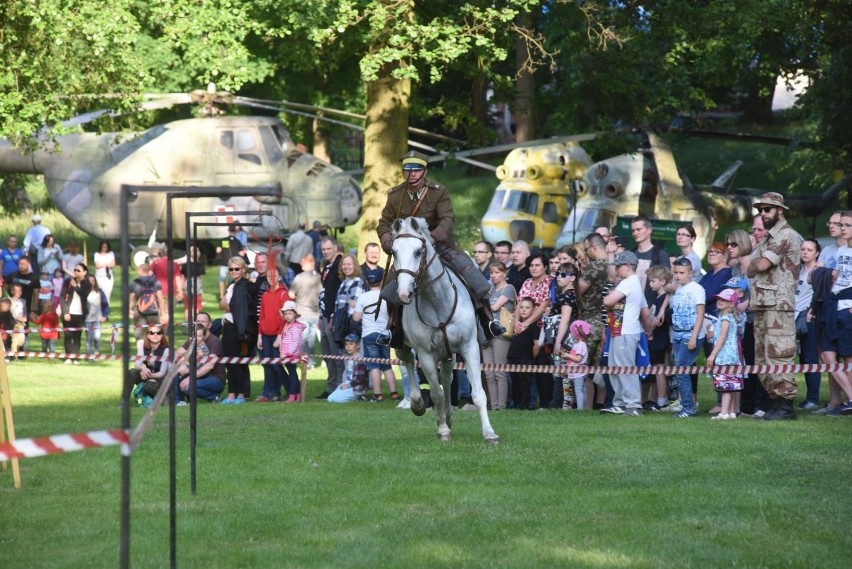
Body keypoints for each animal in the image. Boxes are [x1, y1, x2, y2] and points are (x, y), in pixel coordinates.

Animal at [392, 215, 502, 442]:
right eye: (394, 252)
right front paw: (442, 429)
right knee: (409, 363)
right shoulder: (425, 355)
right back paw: (418, 404)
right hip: (405, 346)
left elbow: (478, 393)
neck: (438, 300)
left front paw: (489, 433)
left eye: (418, 251)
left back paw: (449, 415)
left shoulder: (469, 347)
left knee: (447, 377)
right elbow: (435, 393)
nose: (404, 293)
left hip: (447, 353)